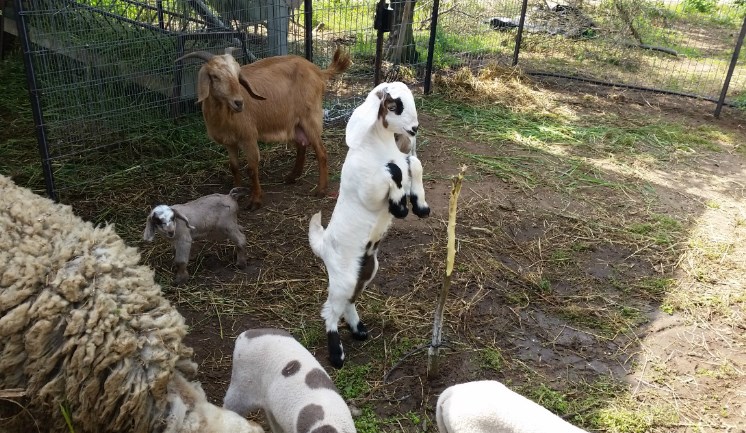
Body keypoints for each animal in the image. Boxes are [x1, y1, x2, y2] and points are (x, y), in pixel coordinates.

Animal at [175, 46, 352, 209]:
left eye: (237, 75)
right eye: (214, 76)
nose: (238, 103)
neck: (225, 116)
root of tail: (318, 71)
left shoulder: (249, 137)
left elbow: (252, 168)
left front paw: (255, 200)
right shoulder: (229, 142)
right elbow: (234, 167)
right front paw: (236, 192)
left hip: (310, 118)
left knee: (321, 152)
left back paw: (320, 190)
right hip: (295, 123)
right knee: (301, 146)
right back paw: (291, 177)